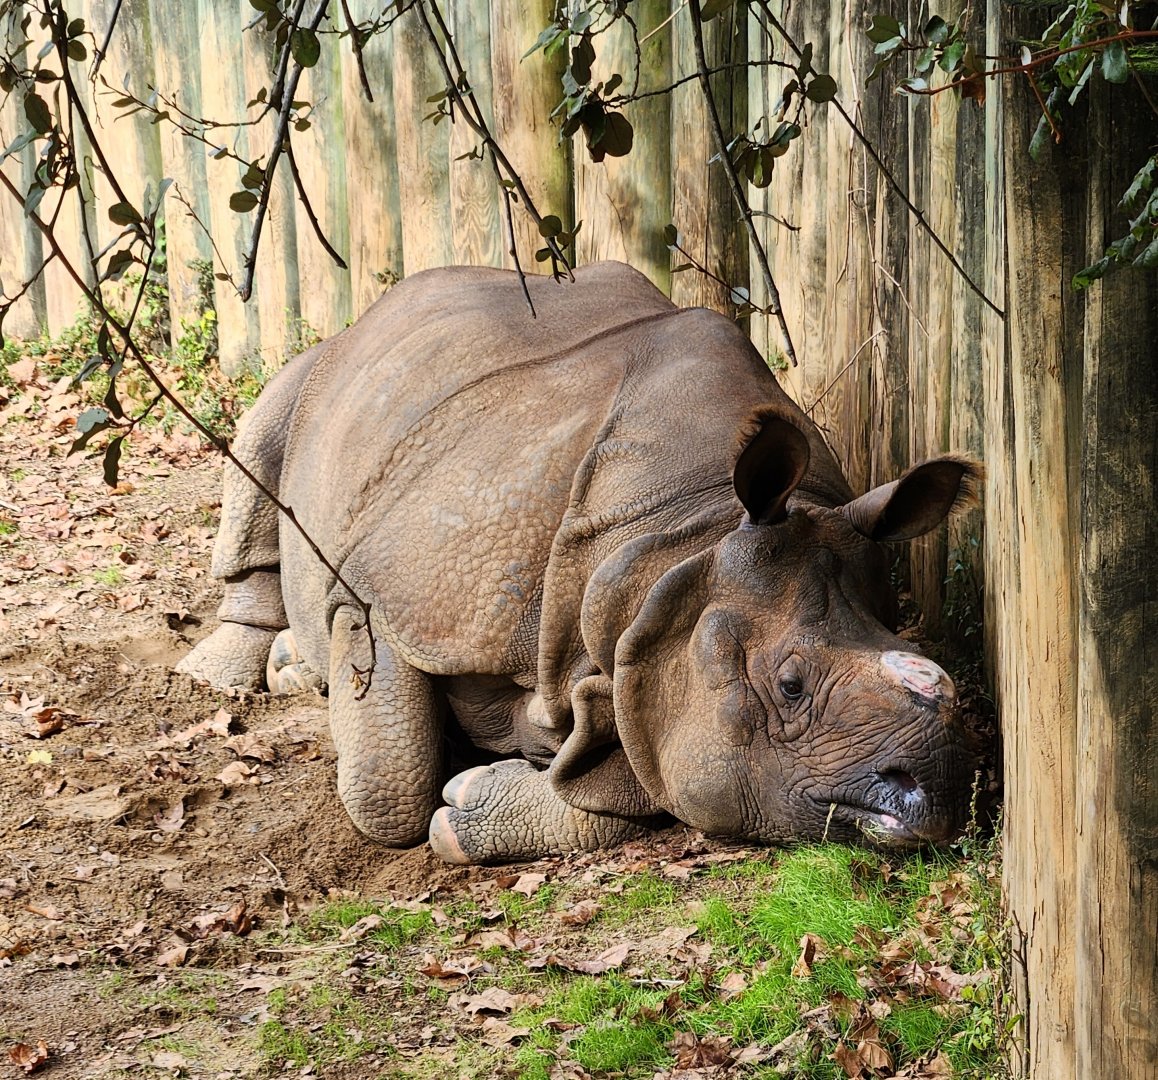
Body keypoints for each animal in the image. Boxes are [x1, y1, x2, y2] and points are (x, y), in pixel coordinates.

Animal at [178, 261, 980, 864]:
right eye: (790, 686)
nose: (939, 789)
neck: (677, 541)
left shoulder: (654, 646)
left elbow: (623, 784)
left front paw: (471, 806)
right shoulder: (394, 591)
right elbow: (388, 792)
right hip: (330, 367)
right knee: (269, 416)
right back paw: (230, 676)